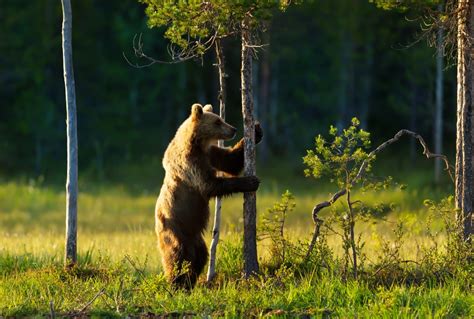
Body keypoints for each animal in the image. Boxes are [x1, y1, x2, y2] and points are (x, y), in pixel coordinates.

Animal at [155, 103, 262, 290]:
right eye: (218, 121)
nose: (233, 129)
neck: (198, 143)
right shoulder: (190, 163)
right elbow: (210, 185)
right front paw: (251, 181)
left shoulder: (211, 154)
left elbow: (231, 161)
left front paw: (256, 129)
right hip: (174, 229)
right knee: (177, 256)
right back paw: (175, 283)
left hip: (194, 236)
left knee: (199, 256)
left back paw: (189, 282)